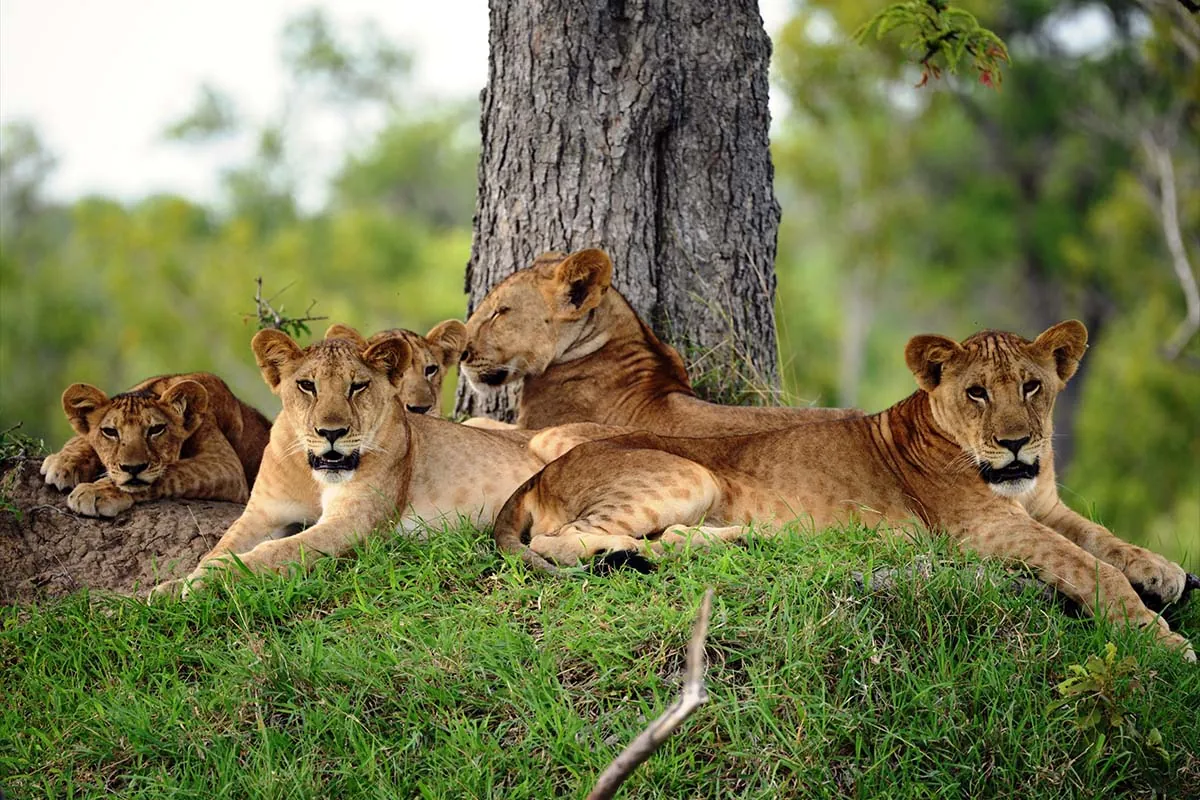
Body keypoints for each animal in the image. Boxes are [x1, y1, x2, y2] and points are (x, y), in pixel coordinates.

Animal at [40, 372, 272, 517]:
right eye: (110, 432)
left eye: (156, 430)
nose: (133, 468)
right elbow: (82, 438)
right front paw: (63, 462)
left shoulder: (225, 465)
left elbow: (173, 471)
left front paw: (97, 491)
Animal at [151, 325, 621, 598]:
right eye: (306, 385)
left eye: (357, 386)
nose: (332, 432)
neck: (313, 472)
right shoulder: (262, 513)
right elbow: (219, 549)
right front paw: (172, 586)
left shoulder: (355, 521)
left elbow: (274, 552)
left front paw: (200, 585)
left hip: (550, 439)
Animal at [492, 321, 1197, 659]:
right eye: (976, 392)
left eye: (1032, 386)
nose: (1020, 442)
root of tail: (538, 474)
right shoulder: (986, 525)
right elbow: (1086, 565)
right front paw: (1164, 643)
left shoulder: (1043, 504)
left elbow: (1102, 538)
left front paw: (1162, 571)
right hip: (686, 473)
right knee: (561, 541)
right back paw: (626, 557)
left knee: (672, 538)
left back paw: (734, 543)